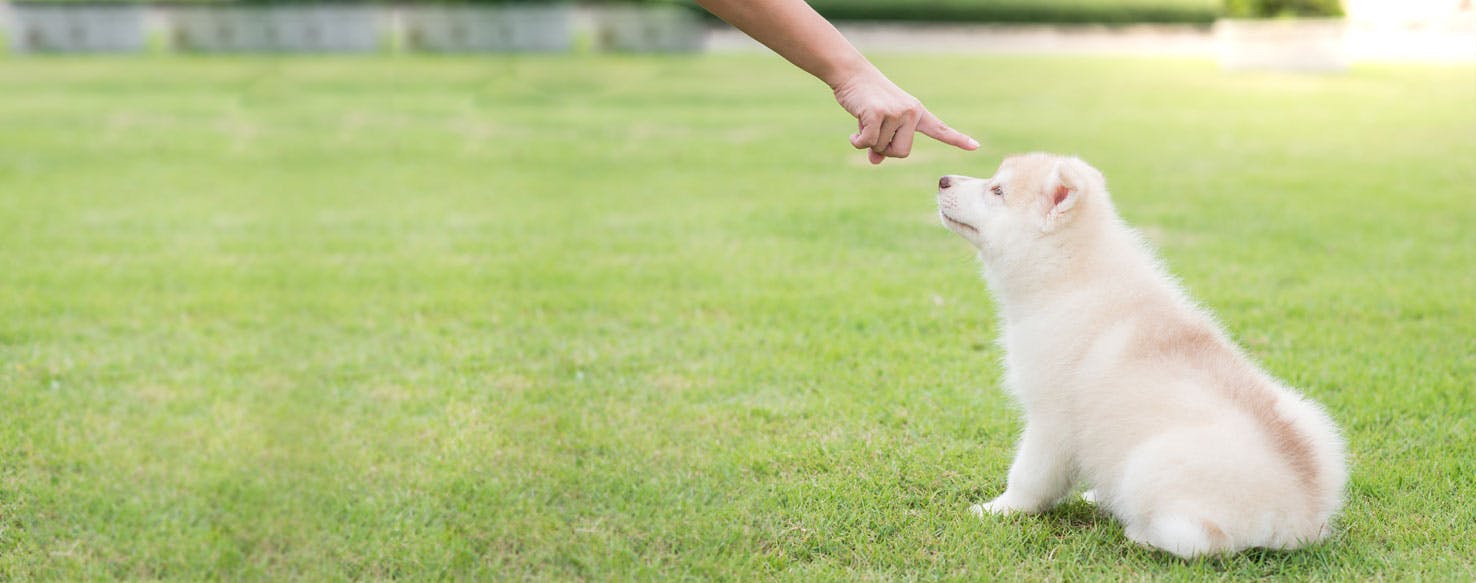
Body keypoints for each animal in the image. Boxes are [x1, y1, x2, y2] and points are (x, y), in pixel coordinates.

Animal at [938, 152, 1346, 557]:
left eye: (997, 190)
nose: (943, 180)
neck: (1069, 275)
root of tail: (1303, 517)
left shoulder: (1051, 421)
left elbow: (1028, 477)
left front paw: (998, 509)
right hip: (1313, 421)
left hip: (1151, 462)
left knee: (1202, 539)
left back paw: (1141, 533)